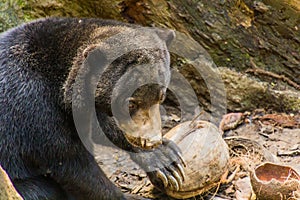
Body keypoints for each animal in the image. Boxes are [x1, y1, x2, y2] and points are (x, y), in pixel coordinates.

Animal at [0, 17, 184, 200]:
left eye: (161, 97)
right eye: (130, 103)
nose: (151, 141)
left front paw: (167, 158)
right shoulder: (36, 109)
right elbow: (73, 165)